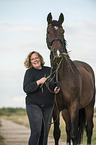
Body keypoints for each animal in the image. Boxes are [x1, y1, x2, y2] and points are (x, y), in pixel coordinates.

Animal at [46, 12, 95, 145]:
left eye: (63, 31)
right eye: (48, 31)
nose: (58, 53)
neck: (62, 77)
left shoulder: (73, 106)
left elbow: (74, 134)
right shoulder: (56, 109)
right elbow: (57, 133)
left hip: (89, 106)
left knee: (89, 129)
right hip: (68, 112)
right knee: (70, 130)